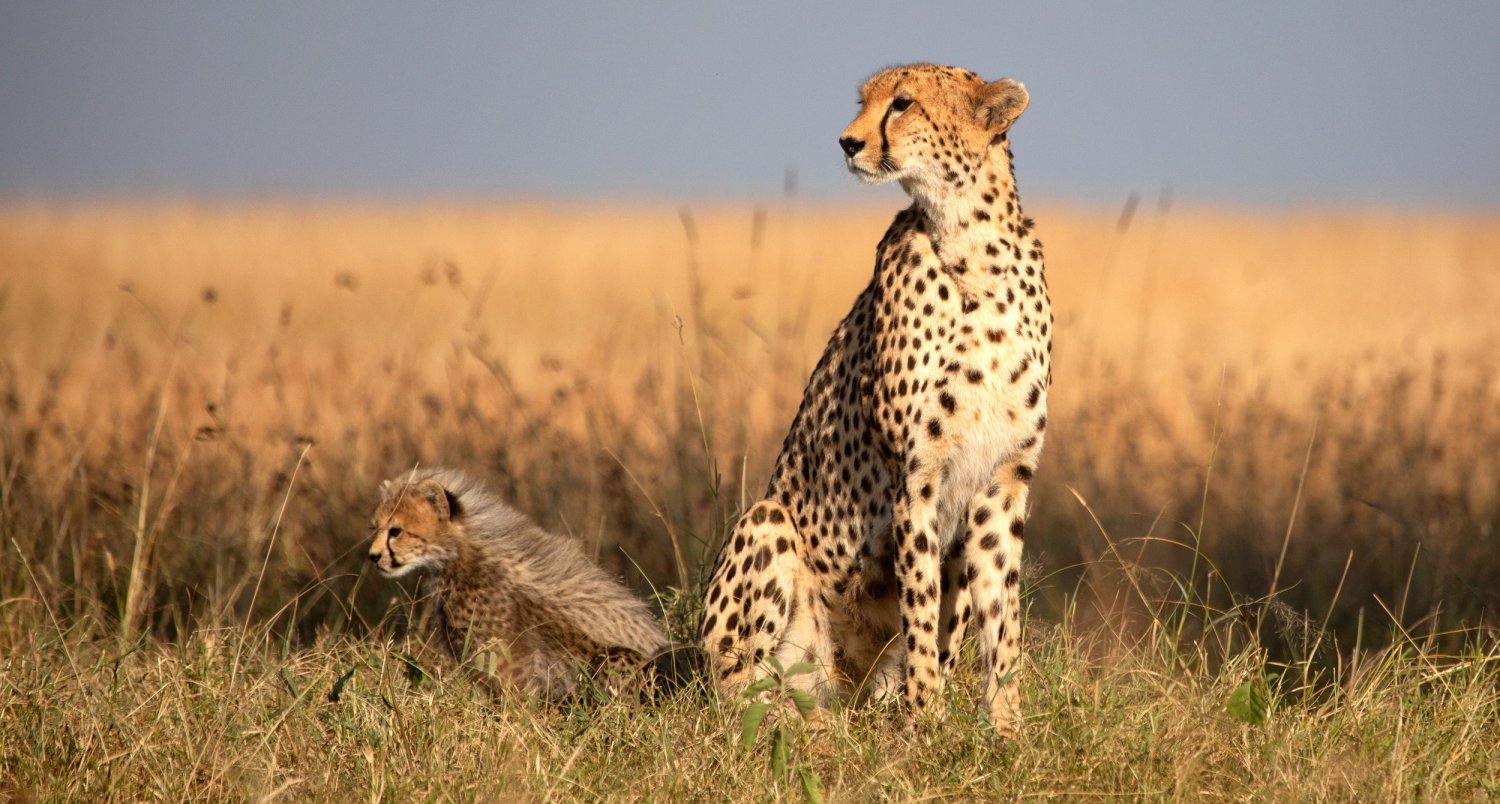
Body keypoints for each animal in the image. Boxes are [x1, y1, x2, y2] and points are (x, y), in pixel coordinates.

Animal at [367, 467, 669, 701]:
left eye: (396, 531)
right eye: (375, 529)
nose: (373, 557)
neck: (457, 559)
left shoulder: (513, 671)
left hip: (618, 659)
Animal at [699, 63, 1051, 735]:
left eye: (903, 103)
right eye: (864, 101)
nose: (847, 142)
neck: (972, 239)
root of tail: (837, 695)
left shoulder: (1003, 479)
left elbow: (1003, 620)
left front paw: (1007, 730)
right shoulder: (915, 474)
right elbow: (918, 610)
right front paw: (928, 726)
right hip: (768, 526)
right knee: (735, 695)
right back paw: (792, 725)